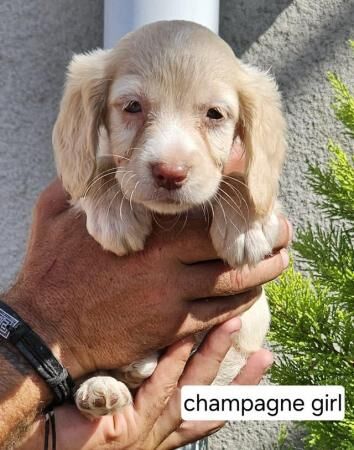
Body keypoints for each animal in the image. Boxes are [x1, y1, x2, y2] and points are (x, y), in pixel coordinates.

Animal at [51, 20, 284, 418]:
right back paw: (105, 386)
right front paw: (116, 217)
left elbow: (241, 178)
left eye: (214, 114)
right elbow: (101, 166)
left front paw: (247, 229)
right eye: (132, 106)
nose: (170, 173)